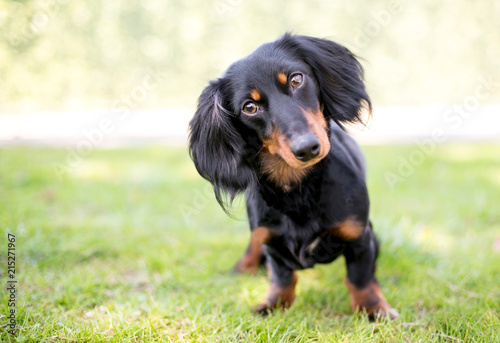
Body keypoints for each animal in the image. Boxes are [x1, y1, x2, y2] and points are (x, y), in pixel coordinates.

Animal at [188, 33, 398, 320]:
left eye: (296, 80)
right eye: (249, 107)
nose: (307, 148)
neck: (298, 189)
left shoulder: (359, 236)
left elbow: (360, 277)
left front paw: (373, 308)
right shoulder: (271, 241)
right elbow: (282, 277)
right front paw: (274, 305)